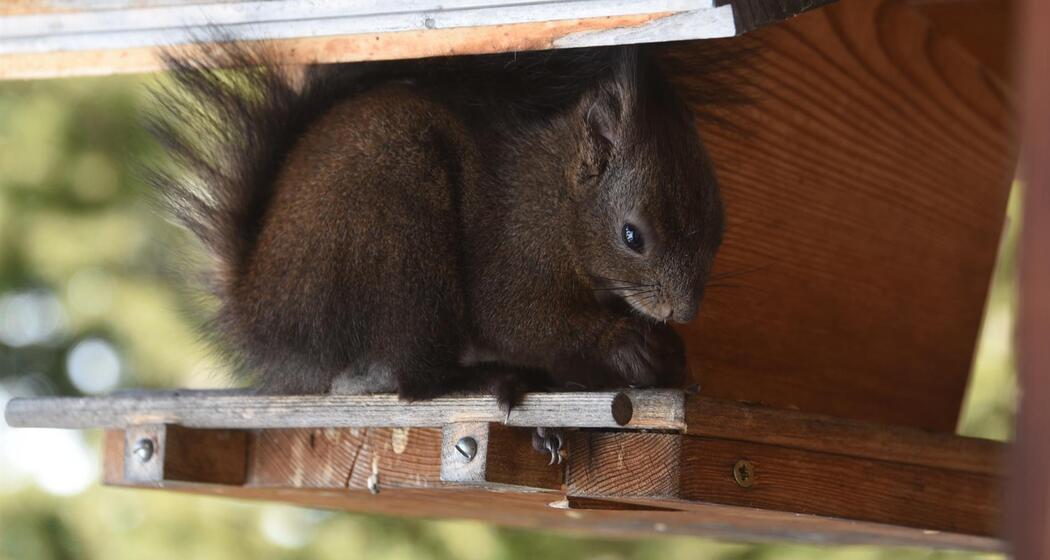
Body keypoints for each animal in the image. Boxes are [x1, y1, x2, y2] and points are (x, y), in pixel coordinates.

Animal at [147, 42, 725, 410]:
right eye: (632, 236)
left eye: (718, 235)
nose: (683, 312)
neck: (559, 200)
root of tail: (261, 314)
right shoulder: (513, 244)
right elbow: (517, 319)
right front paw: (630, 346)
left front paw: (671, 354)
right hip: (399, 248)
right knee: (415, 379)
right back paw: (481, 380)